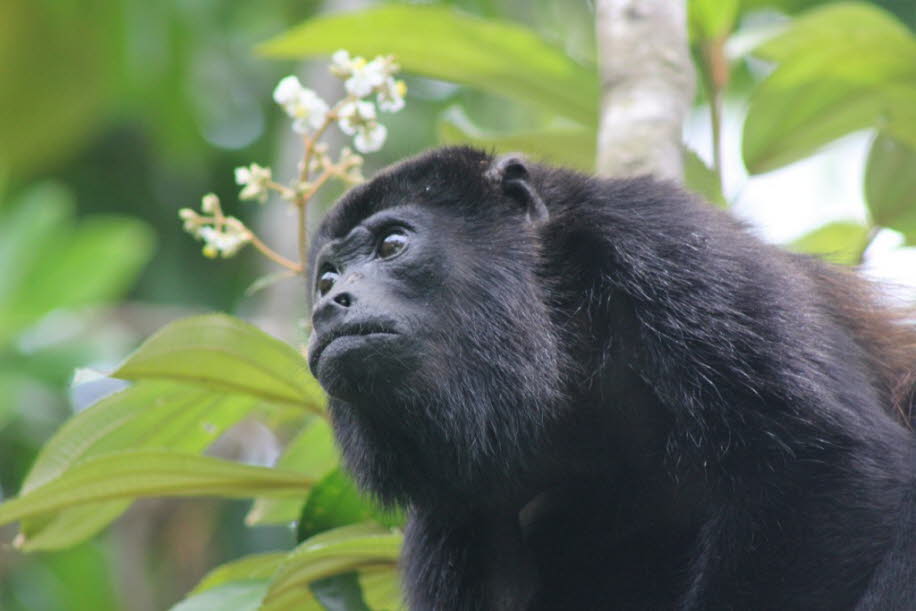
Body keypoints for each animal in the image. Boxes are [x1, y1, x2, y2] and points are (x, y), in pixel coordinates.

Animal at [310, 148, 916, 611]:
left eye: (392, 244)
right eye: (326, 277)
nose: (325, 307)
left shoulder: (663, 240)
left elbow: (821, 463)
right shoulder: (451, 515)